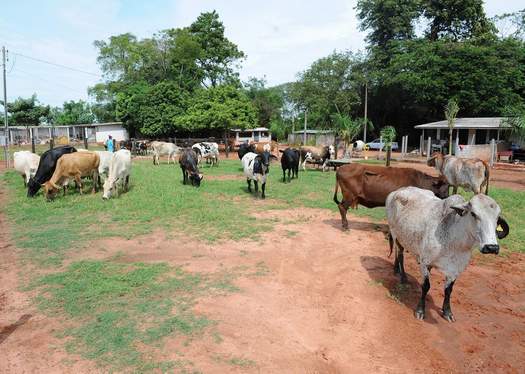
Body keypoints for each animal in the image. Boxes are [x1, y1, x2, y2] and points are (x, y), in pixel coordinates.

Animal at [384, 187, 508, 322]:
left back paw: (396, 269)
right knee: (400, 254)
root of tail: (397, 191)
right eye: (473, 214)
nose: (491, 247)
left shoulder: (455, 269)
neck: (454, 240)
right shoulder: (425, 262)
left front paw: (447, 312)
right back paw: (403, 277)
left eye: (497, 217)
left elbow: (448, 290)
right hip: (396, 235)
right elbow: (425, 286)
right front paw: (420, 310)